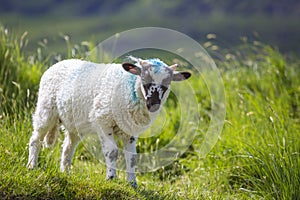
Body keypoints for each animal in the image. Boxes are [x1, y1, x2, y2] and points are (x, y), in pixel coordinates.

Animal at [27, 56, 192, 188]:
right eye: (144, 78)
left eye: (167, 83)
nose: (153, 103)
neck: (130, 89)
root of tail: (58, 63)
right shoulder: (103, 121)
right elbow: (112, 152)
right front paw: (111, 178)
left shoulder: (131, 132)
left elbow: (132, 157)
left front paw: (132, 184)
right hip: (46, 109)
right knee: (36, 138)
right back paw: (31, 166)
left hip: (75, 124)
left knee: (67, 147)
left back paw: (65, 173)